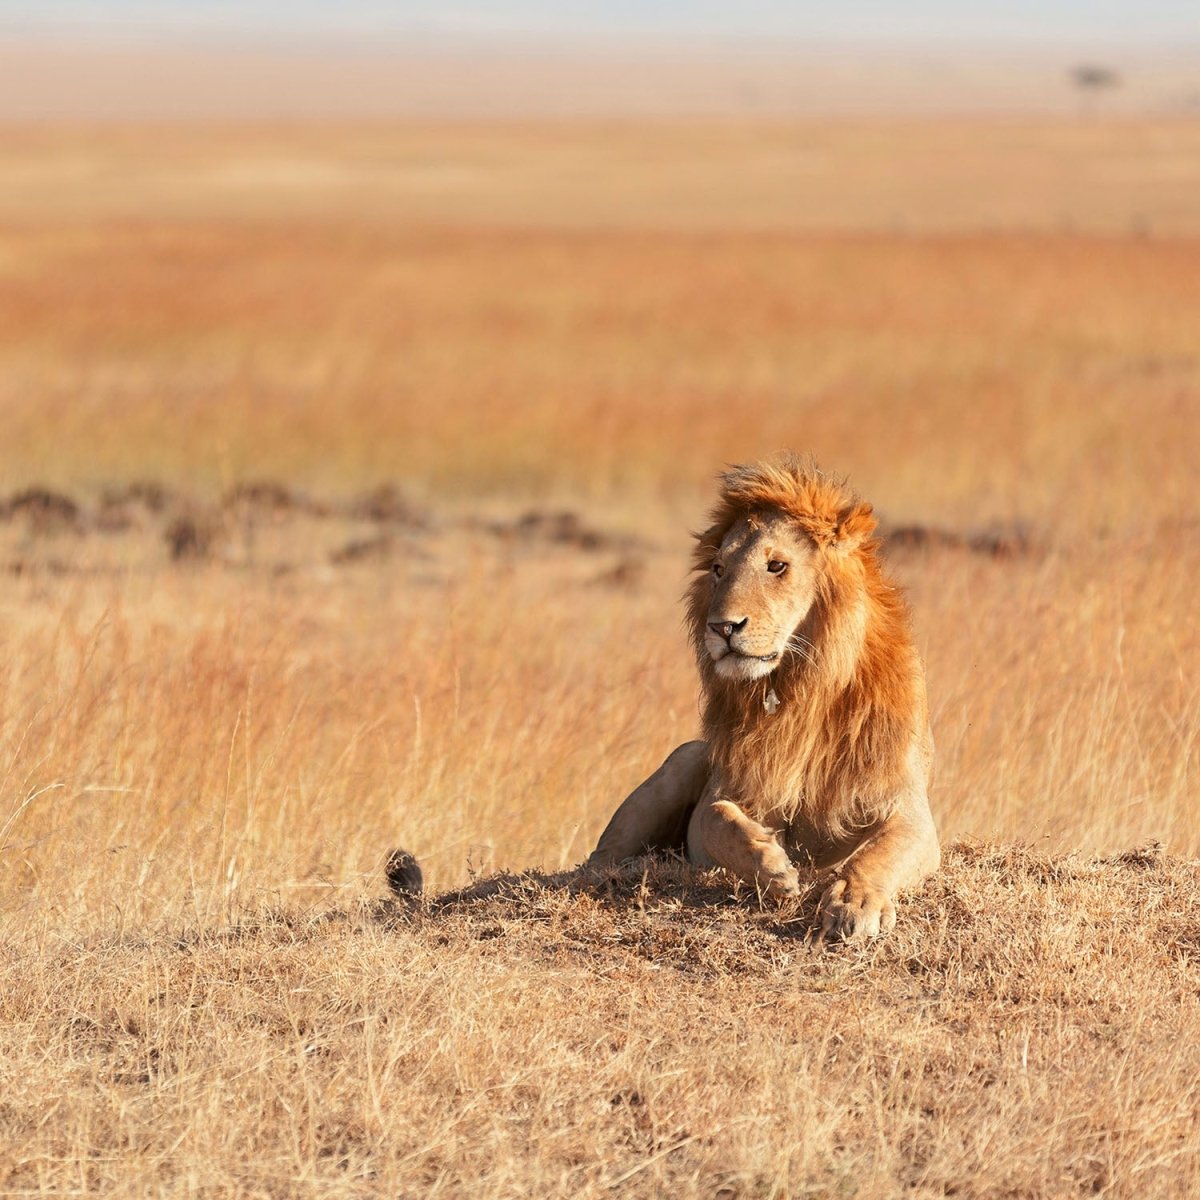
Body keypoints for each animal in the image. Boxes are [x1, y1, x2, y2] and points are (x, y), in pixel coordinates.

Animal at [588, 453, 936, 940]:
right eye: (718, 569)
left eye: (777, 566)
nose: (722, 627)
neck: (798, 688)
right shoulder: (735, 788)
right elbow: (718, 817)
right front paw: (771, 865)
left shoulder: (907, 806)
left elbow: (883, 850)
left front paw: (855, 901)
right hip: (684, 759)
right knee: (601, 856)